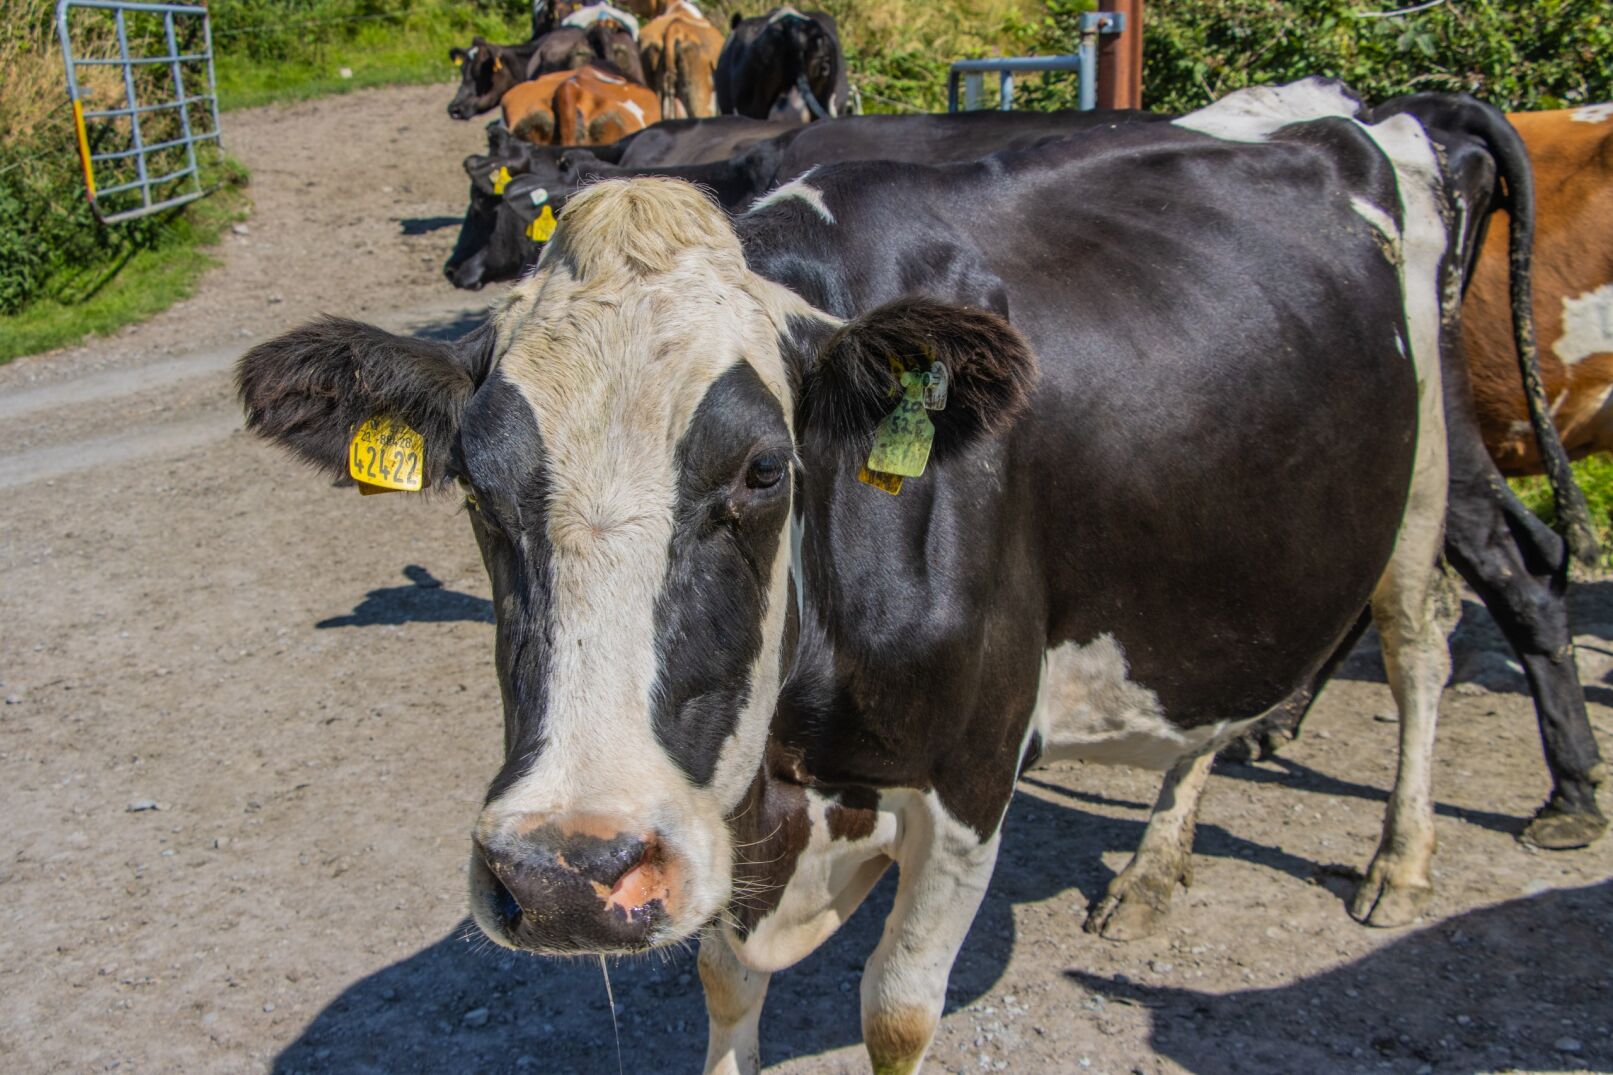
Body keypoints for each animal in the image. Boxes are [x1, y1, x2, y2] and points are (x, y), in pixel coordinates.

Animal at [238, 79, 1559, 1072]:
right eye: (472, 480)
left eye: (764, 469)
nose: (567, 873)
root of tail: (1358, 112)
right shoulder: (724, 810)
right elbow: (725, 985)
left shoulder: (971, 775)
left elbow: (896, 1010)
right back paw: (1154, 864)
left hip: (1422, 477)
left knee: (1419, 633)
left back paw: (1401, 855)